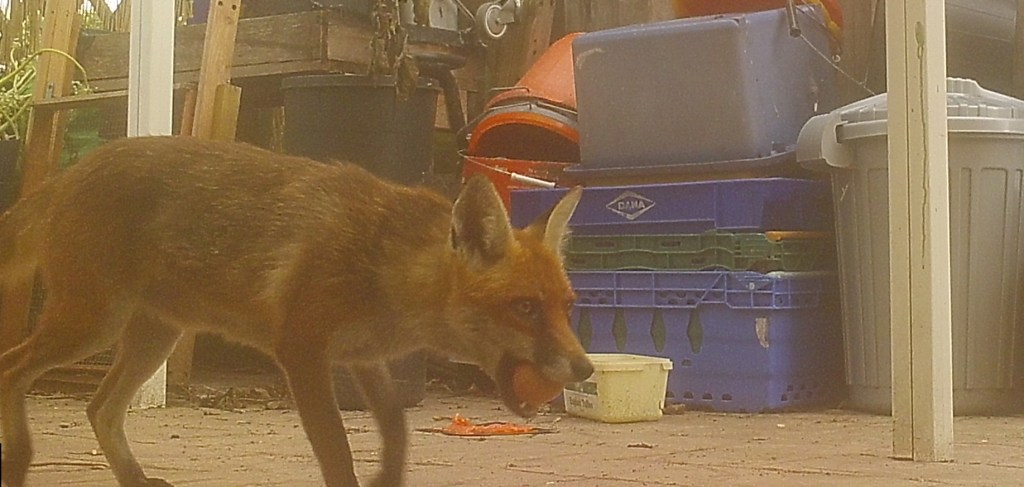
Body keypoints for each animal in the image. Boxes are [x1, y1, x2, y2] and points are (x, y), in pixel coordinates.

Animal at [0, 135, 593, 487]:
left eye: (567, 307)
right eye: (524, 307)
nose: (585, 368)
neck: (384, 266)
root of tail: (71, 173)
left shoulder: (363, 358)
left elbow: (397, 432)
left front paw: (387, 477)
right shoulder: (302, 352)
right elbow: (337, 453)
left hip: (153, 338)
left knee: (99, 409)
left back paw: (134, 479)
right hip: (90, 326)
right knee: (12, 369)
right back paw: (19, 460)